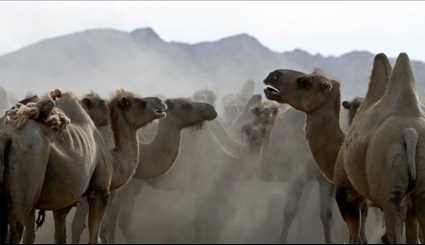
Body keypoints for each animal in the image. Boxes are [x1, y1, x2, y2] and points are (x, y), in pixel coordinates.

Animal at [0, 90, 112, 243]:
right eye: (103, 106)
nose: (109, 113)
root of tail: (7, 134)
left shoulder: (61, 200)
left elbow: (55, 234)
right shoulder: (100, 190)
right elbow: (94, 235)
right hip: (30, 151)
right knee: (16, 226)